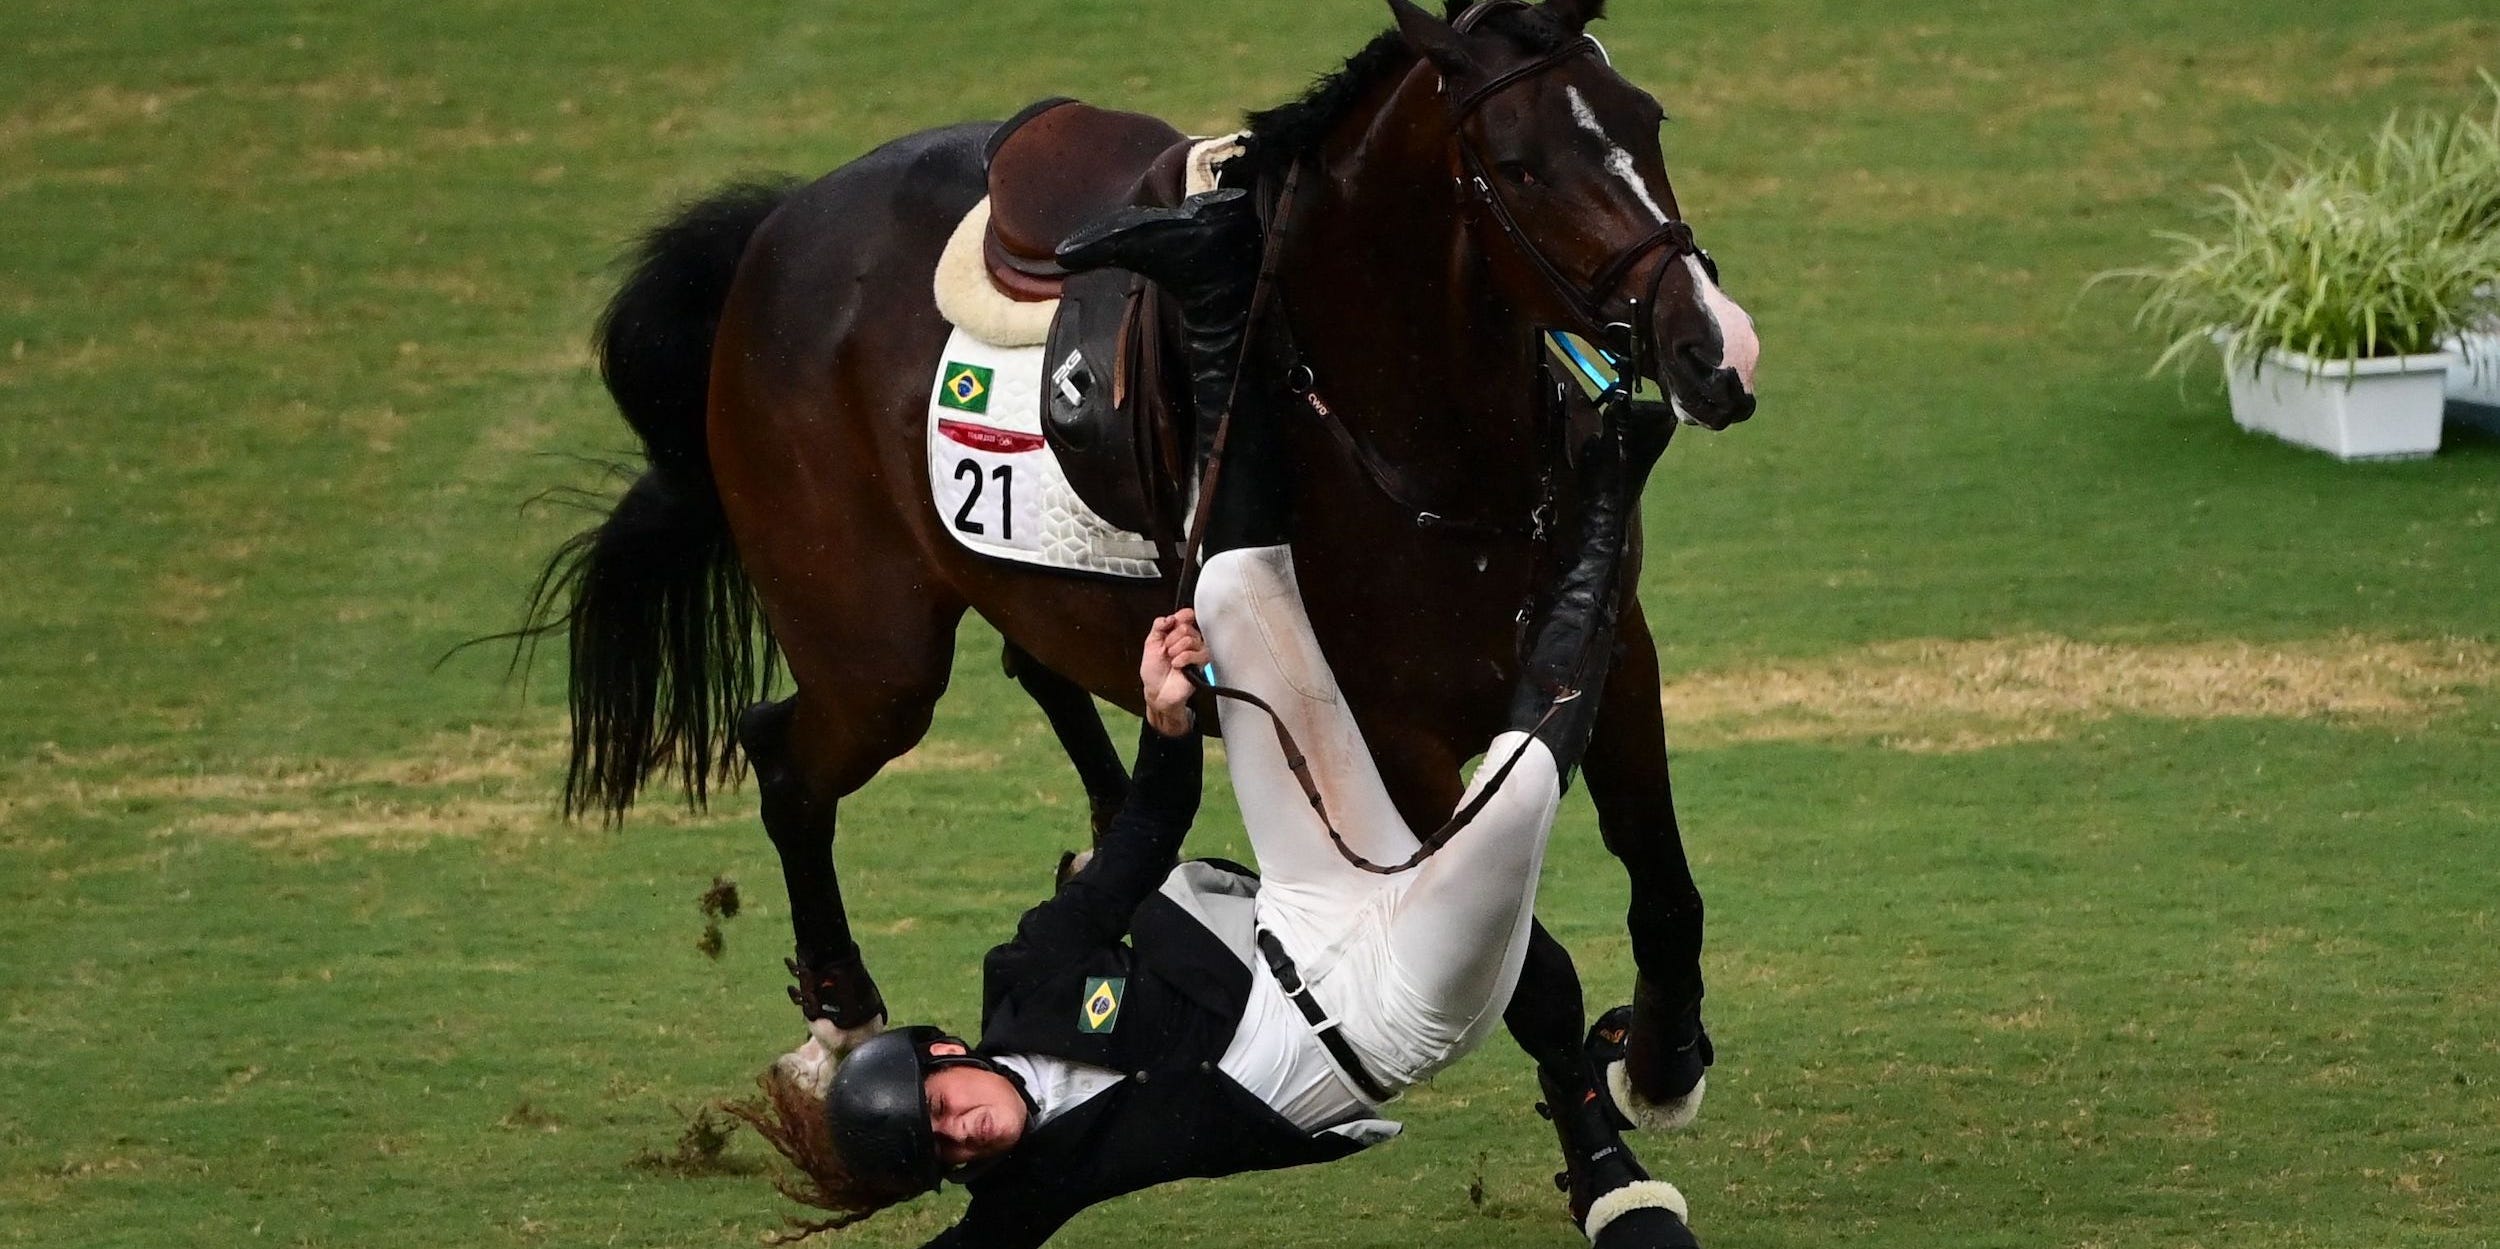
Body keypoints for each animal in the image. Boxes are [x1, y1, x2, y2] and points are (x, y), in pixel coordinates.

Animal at [527, 0, 1760, 1219]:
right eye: (1518, 166)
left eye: (1647, 119)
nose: (1714, 349)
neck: (1429, 451)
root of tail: (778, 228)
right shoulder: (1394, 739)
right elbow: (1535, 974)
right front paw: (1610, 1173)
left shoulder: (1617, 653)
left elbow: (1664, 884)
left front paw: (1659, 1061)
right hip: (876, 663)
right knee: (783, 754)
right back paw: (842, 1014)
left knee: (1037, 680)